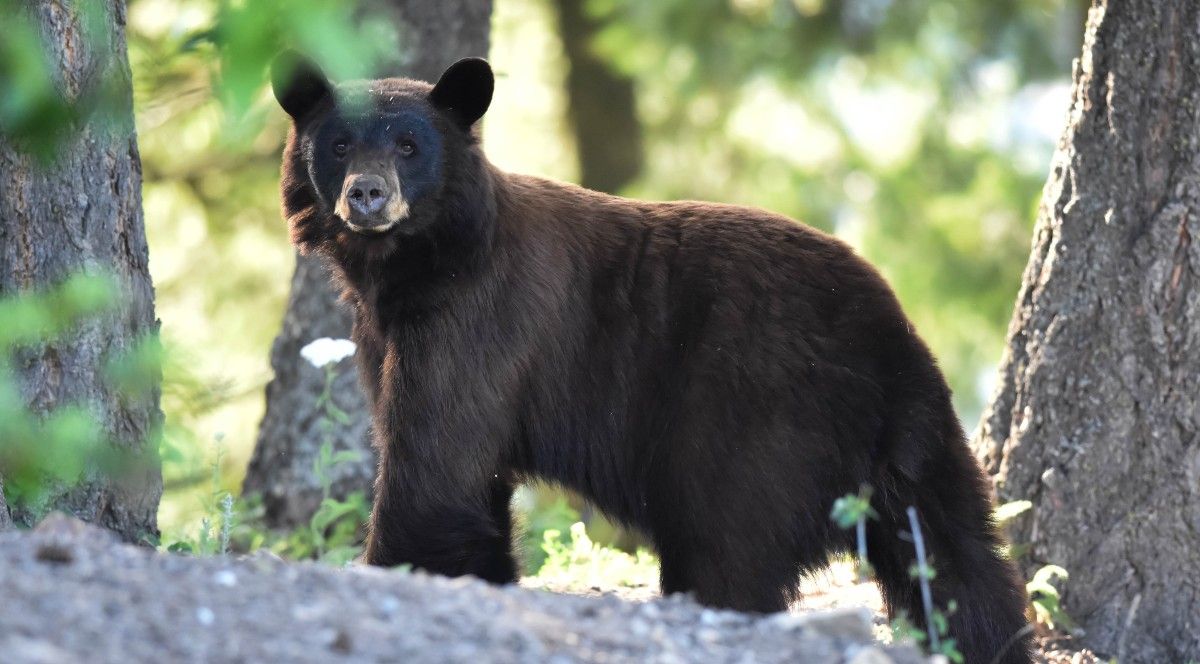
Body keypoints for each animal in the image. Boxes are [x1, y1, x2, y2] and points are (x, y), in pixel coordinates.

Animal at [270, 54, 1032, 657]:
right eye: (339, 143)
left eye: (408, 145)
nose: (367, 195)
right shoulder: (391, 331)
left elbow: (435, 461)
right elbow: (468, 476)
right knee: (960, 558)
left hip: (755, 424)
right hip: (919, 439)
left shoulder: (478, 316)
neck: (411, 267)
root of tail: (885, 337)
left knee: (730, 550)